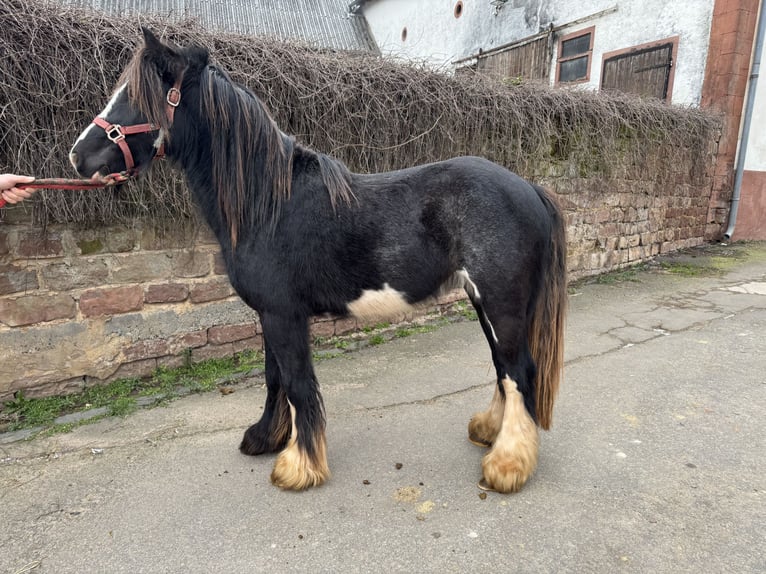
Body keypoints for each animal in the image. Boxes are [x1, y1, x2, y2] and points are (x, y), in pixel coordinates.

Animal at [69, 28, 568, 496]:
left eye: (136, 98)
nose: (77, 156)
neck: (268, 203)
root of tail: (530, 188)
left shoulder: (283, 315)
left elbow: (296, 383)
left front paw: (298, 467)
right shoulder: (271, 315)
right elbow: (274, 378)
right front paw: (265, 438)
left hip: (501, 304)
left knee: (519, 371)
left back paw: (506, 466)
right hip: (485, 303)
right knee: (503, 368)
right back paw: (489, 433)